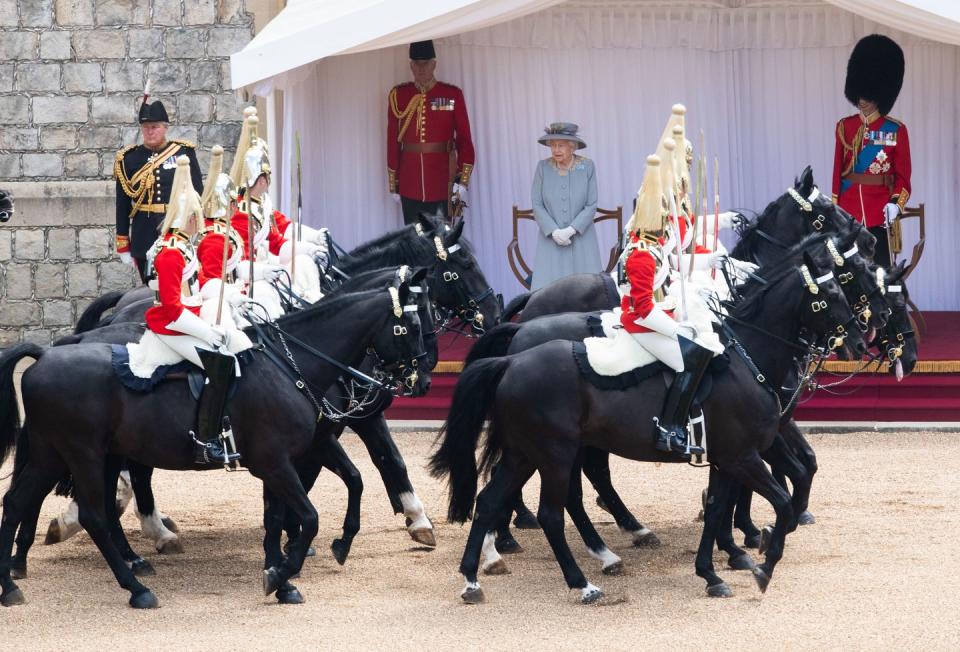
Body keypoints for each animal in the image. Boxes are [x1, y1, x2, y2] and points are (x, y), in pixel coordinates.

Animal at [0, 278, 428, 608]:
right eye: (409, 326)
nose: (421, 381)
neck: (289, 365)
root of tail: (45, 355)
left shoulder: (287, 460)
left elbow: (288, 513)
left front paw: (283, 574)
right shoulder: (276, 462)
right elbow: (309, 517)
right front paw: (282, 573)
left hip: (52, 455)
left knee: (18, 501)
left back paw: (10, 584)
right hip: (84, 455)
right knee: (93, 515)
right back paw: (137, 587)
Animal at [432, 234, 868, 600]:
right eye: (833, 289)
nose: (861, 339)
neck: (748, 357)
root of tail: (512, 359)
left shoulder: (729, 457)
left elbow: (721, 508)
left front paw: (714, 571)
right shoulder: (744, 456)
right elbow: (780, 500)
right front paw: (763, 560)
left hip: (527, 453)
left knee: (491, 499)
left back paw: (474, 576)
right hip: (555, 455)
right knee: (553, 512)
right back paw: (581, 580)